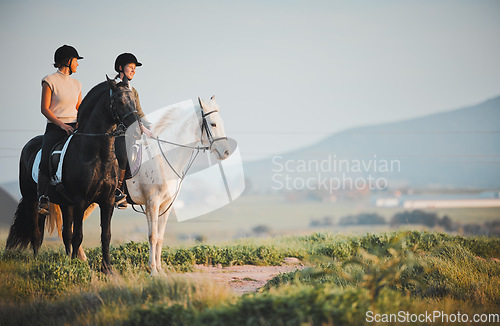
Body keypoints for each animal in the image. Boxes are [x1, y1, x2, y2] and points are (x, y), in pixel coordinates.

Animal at [6, 77, 141, 272]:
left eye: (133, 101)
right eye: (120, 101)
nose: (137, 131)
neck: (97, 154)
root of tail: (29, 144)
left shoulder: (106, 201)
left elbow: (105, 234)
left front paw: (107, 268)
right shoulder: (80, 201)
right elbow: (79, 235)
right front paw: (78, 267)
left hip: (64, 203)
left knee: (65, 233)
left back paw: (68, 259)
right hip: (33, 199)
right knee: (37, 233)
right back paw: (37, 261)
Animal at [127, 95, 232, 276]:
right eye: (213, 124)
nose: (226, 152)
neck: (162, 157)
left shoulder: (164, 204)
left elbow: (159, 236)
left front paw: (160, 270)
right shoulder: (152, 203)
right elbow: (152, 236)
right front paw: (153, 271)